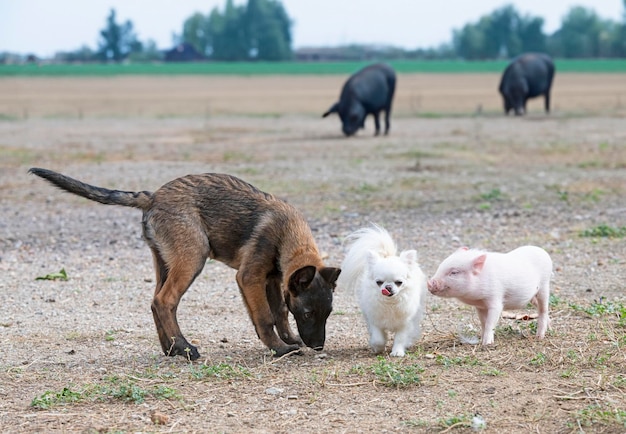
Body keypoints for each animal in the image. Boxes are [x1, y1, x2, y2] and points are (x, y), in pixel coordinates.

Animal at [28, 168, 338, 362]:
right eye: (308, 313)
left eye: (328, 313)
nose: (318, 345)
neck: (287, 233)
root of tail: (152, 196)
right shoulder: (249, 277)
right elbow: (264, 317)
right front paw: (278, 349)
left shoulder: (273, 279)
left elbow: (280, 313)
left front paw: (289, 340)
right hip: (192, 257)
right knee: (165, 301)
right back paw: (185, 348)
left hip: (165, 262)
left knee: (156, 301)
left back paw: (171, 348)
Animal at [338, 224, 426, 356]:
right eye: (379, 282)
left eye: (399, 282)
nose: (388, 287)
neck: (390, 303)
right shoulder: (375, 320)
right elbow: (378, 338)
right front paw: (378, 348)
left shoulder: (405, 323)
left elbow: (400, 338)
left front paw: (397, 351)